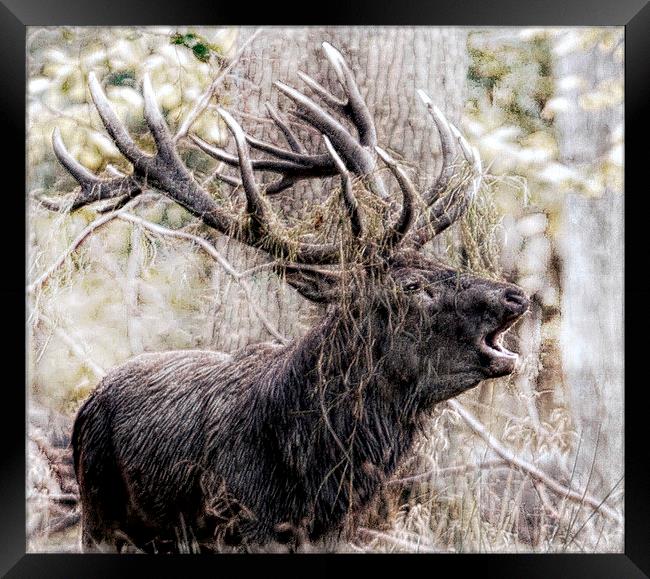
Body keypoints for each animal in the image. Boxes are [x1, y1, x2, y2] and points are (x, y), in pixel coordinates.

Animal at [46, 42, 532, 552]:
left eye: (440, 263)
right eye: (413, 287)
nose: (515, 296)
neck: (310, 474)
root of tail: (85, 406)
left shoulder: (334, 532)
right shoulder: (240, 525)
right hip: (98, 514)